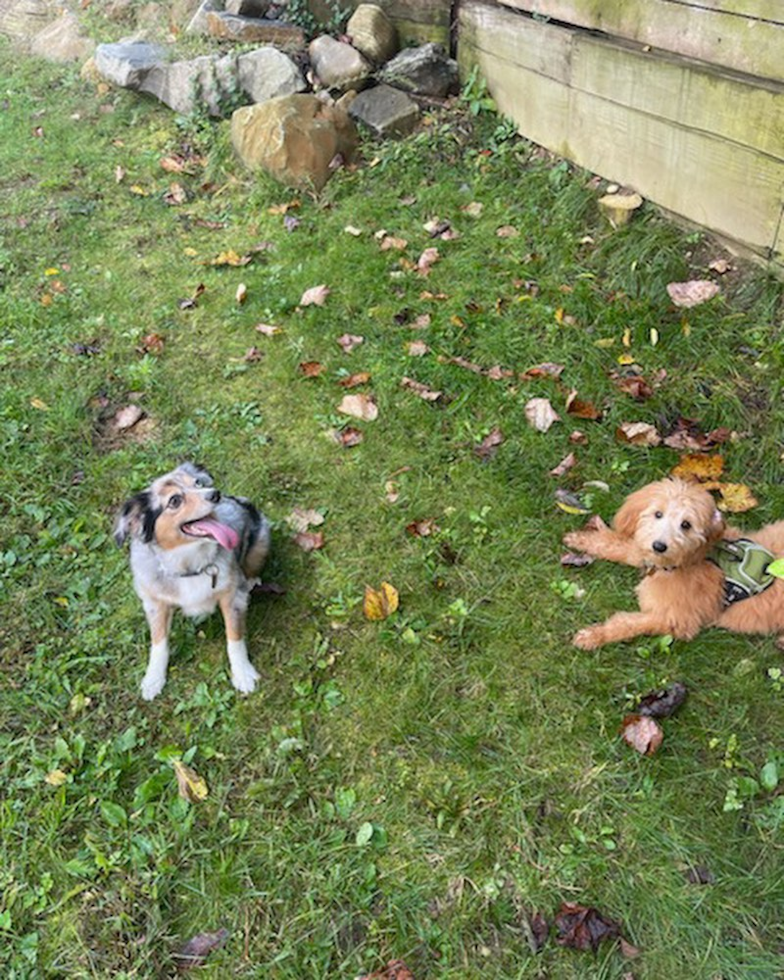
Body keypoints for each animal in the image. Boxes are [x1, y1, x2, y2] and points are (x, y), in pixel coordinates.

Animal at [564, 476, 784, 652]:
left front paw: (595, 636)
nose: (659, 546)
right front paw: (582, 540)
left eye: (686, 525)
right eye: (658, 514)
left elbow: (630, 623)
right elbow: (621, 547)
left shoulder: (678, 619)